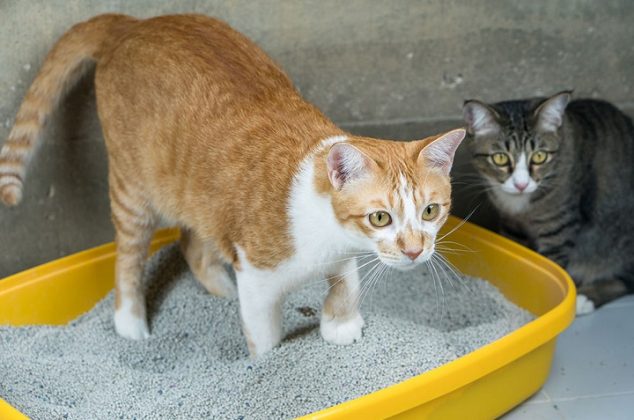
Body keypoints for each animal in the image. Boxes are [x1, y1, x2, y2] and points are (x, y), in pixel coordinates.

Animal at [0, 13, 464, 356]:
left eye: (430, 211)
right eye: (380, 217)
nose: (414, 250)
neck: (323, 229)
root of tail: (132, 24)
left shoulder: (342, 256)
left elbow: (346, 288)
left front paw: (341, 325)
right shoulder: (257, 280)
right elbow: (266, 338)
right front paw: (268, 363)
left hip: (200, 195)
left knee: (193, 243)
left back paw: (221, 292)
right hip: (134, 192)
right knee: (128, 259)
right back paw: (131, 325)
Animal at [462, 92, 628, 316]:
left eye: (540, 156)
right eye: (500, 158)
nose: (521, 184)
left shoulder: (557, 227)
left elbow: (552, 264)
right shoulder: (512, 226)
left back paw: (585, 298)